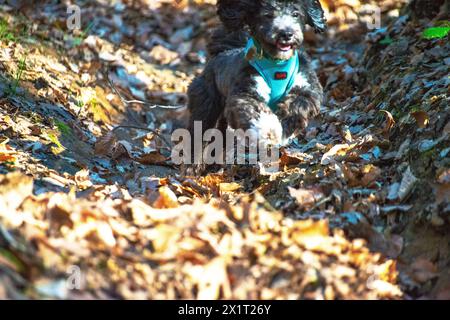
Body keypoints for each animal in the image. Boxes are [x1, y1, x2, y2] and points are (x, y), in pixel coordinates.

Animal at [186, 0, 326, 165]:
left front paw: (284, 128)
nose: (286, 34)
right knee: (199, 135)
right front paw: (268, 131)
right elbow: (255, 110)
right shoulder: (246, 91)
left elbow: (296, 105)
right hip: (206, 104)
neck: (277, 64)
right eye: (268, 15)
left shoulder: (306, 87)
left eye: (296, 14)